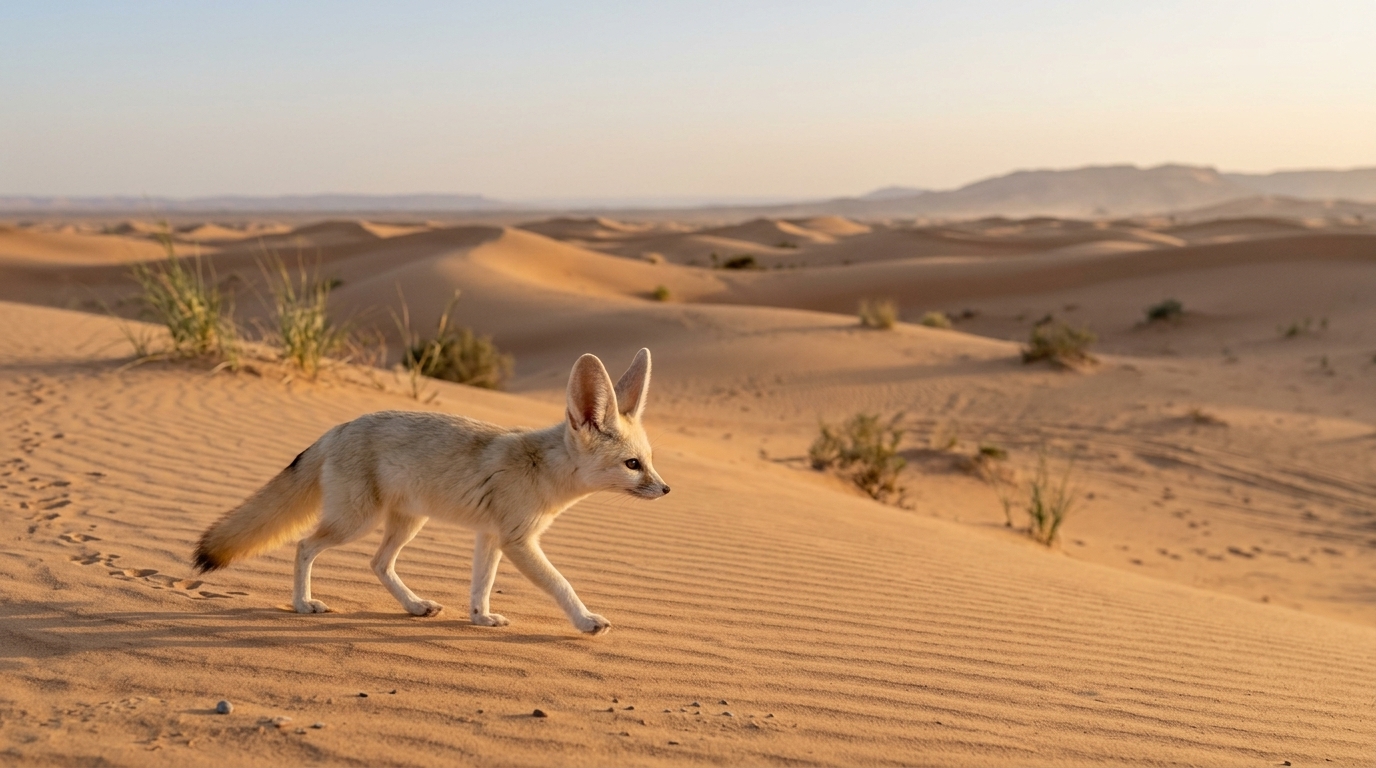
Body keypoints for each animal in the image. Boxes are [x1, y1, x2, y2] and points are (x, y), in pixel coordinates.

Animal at [192, 348, 669, 635]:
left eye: (649, 460)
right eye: (633, 465)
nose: (666, 488)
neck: (542, 468)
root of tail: (338, 427)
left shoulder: (491, 536)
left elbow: (481, 584)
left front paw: (480, 618)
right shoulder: (518, 541)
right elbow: (560, 582)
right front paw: (586, 620)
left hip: (407, 523)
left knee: (378, 563)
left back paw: (415, 606)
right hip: (354, 522)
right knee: (304, 545)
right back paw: (303, 604)